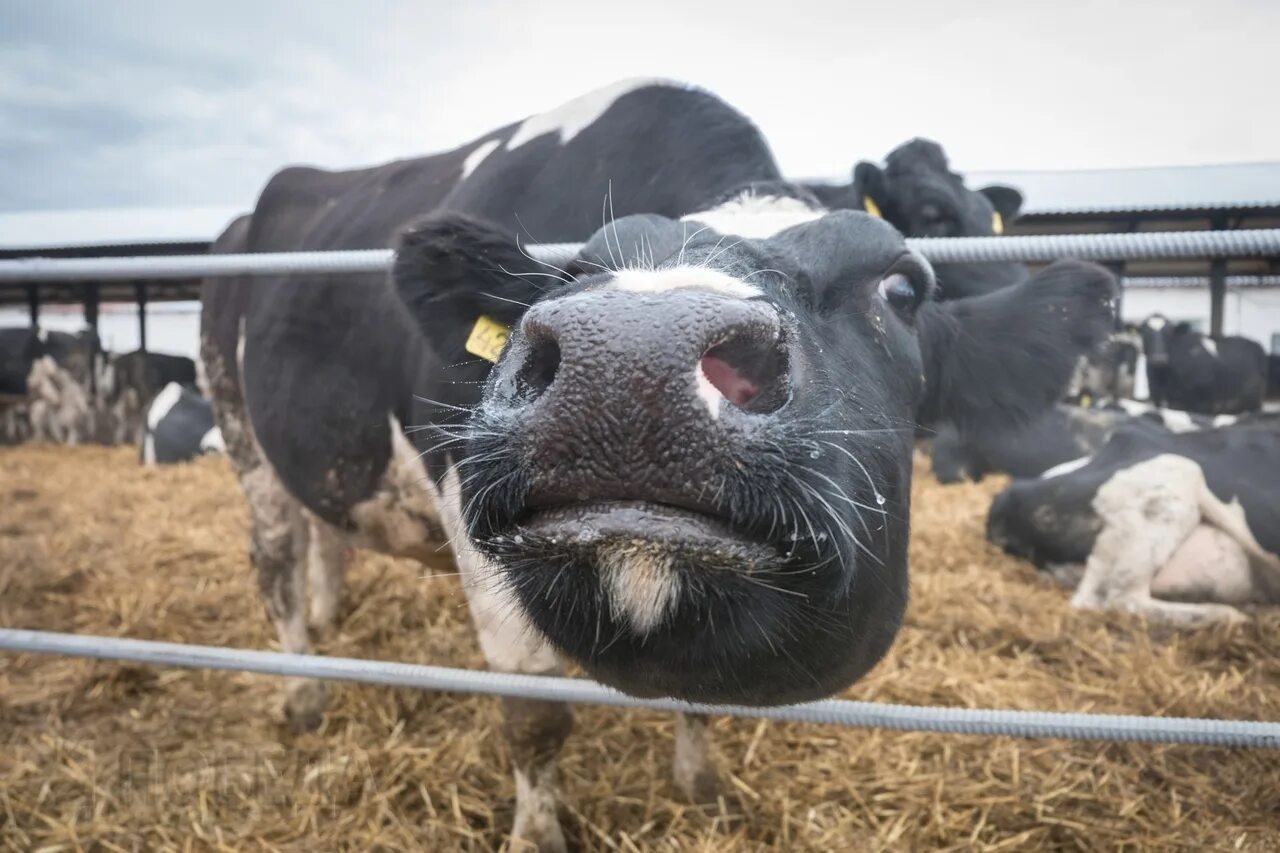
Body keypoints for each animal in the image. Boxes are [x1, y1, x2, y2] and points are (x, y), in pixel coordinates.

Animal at [1141, 315, 1269, 414]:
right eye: (1145, 333)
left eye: (1169, 333)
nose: (1159, 359)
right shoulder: (1158, 401)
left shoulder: (1201, 404)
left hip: (1254, 402)